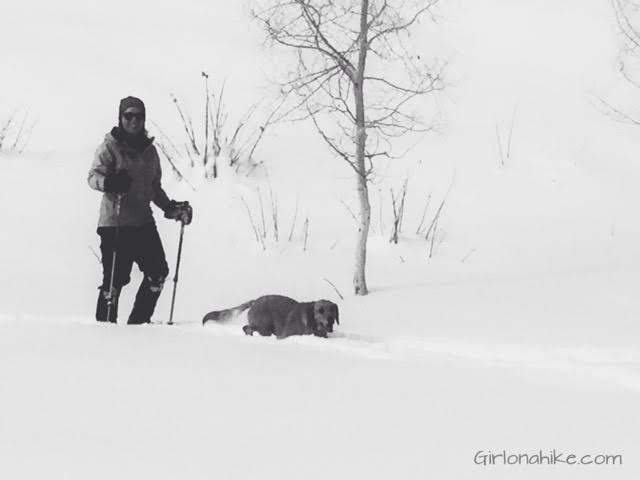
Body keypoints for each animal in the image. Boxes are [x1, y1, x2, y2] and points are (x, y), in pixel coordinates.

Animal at [202, 294, 340, 340]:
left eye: (332, 310)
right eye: (320, 310)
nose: (330, 321)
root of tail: (254, 302)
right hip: (264, 327)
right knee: (247, 328)